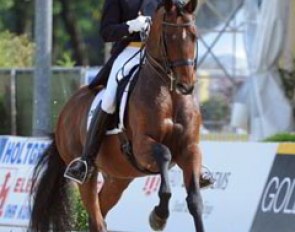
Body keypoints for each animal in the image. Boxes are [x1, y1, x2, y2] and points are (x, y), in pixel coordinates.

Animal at [30, 0, 206, 231]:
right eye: (169, 37)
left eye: (194, 35)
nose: (185, 85)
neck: (170, 95)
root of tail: (65, 112)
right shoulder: (142, 146)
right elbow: (165, 156)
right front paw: (158, 216)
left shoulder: (190, 149)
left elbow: (195, 201)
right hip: (88, 174)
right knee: (96, 216)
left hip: (118, 177)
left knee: (100, 210)